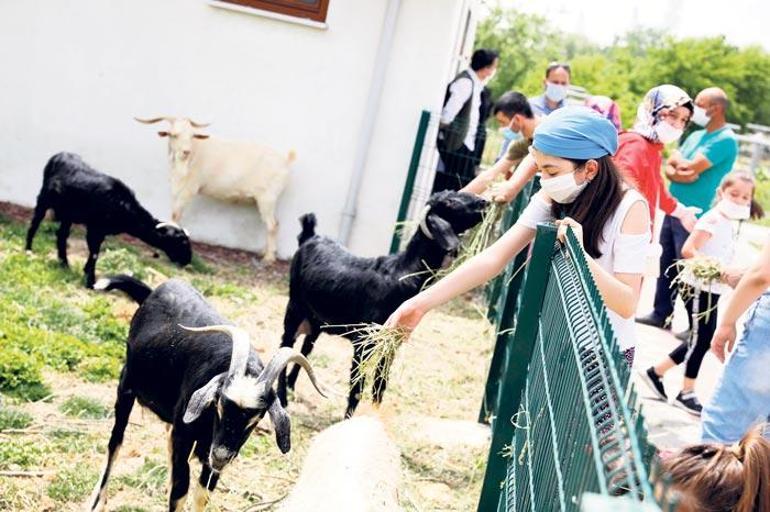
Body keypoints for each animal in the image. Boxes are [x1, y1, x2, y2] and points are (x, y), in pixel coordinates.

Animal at [26, 152, 192, 288]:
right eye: (181, 241)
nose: (187, 261)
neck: (124, 206)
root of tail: (58, 154)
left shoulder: (100, 231)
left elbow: (94, 251)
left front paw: (86, 272)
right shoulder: (95, 228)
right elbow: (95, 253)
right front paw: (90, 281)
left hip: (68, 213)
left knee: (61, 235)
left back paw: (64, 264)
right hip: (44, 198)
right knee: (35, 223)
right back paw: (28, 250)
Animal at [90, 276, 324, 512]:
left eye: (256, 418)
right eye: (219, 405)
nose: (220, 457)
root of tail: (154, 292)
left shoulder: (211, 449)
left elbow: (202, 493)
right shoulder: (185, 436)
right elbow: (180, 491)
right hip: (126, 385)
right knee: (115, 441)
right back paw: (97, 501)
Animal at [134, 116, 292, 260]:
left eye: (192, 135)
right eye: (174, 134)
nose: (186, 151)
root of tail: (286, 161)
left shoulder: (189, 188)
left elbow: (176, 215)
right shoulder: (177, 187)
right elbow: (173, 214)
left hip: (267, 198)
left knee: (272, 225)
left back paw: (269, 258)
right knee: (273, 224)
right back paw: (264, 252)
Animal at [276, 190, 484, 418]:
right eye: (450, 202)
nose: (484, 201)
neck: (401, 272)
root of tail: (310, 236)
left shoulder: (390, 342)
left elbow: (380, 385)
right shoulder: (363, 341)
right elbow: (357, 388)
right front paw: (348, 421)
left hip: (317, 319)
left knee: (305, 349)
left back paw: (291, 387)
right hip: (294, 307)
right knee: (285, 347)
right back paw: (282, 399)